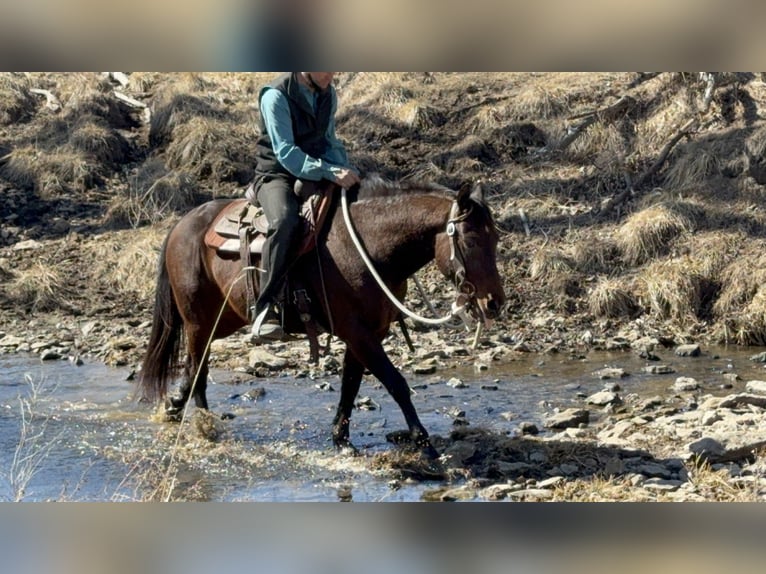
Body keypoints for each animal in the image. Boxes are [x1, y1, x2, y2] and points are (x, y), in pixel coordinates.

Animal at [137, 176, 506, 458]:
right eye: (472, 240)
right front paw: (423, 441)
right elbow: (395, 383)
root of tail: (182, 225)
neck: (368, 245)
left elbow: (350, 385)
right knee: (199, 365)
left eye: (495, 238)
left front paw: (341, 440)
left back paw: (176, 404)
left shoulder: (368, 332)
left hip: (223, 318)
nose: (494, 303)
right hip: (198, 319)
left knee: (194, 362)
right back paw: (203, 422)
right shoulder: (357, 331)